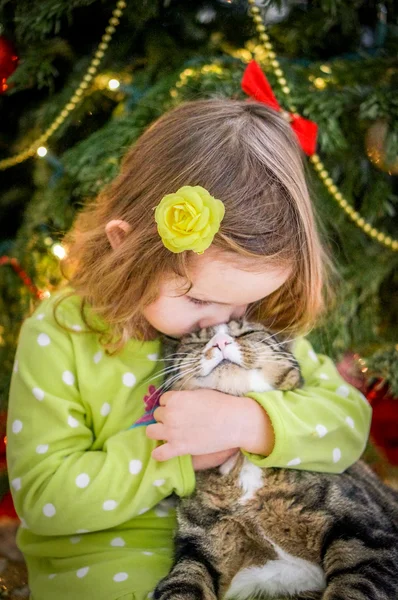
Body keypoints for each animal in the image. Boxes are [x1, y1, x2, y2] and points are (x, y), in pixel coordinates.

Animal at [153, 322, 398, 600]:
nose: (220, 342)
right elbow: (181, 585)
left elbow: (353, 586)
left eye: (245, 333)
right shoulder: (196, 551)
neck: (243, 466)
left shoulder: (365, 534)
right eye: (196, 341)